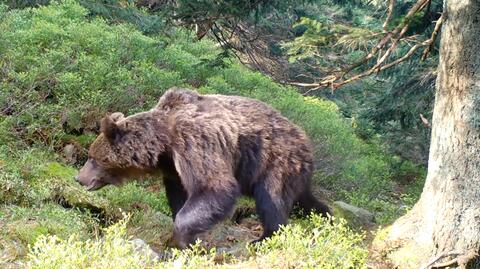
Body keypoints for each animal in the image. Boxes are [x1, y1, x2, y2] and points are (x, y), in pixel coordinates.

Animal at [76, 87, 330, 247]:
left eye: (92, 158)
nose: (79, 178)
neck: (164, 143)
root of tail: (306, 141)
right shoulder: (174, 167)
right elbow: (181, 195)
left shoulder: (195, 142)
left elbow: (215, 187)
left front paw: (183, 239)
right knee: (305, 199)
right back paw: (326, 216)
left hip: (274, 162)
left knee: (271, 201)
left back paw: (263, 238)